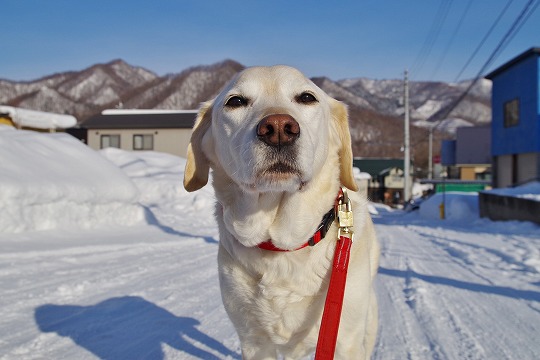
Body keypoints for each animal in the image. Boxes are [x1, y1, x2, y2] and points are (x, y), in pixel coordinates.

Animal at [184, 66, 378, 358]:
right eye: (235, 101)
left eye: (307, 97)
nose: (277, 128)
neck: (284, 248)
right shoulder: (253, 342)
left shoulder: (346, 339)